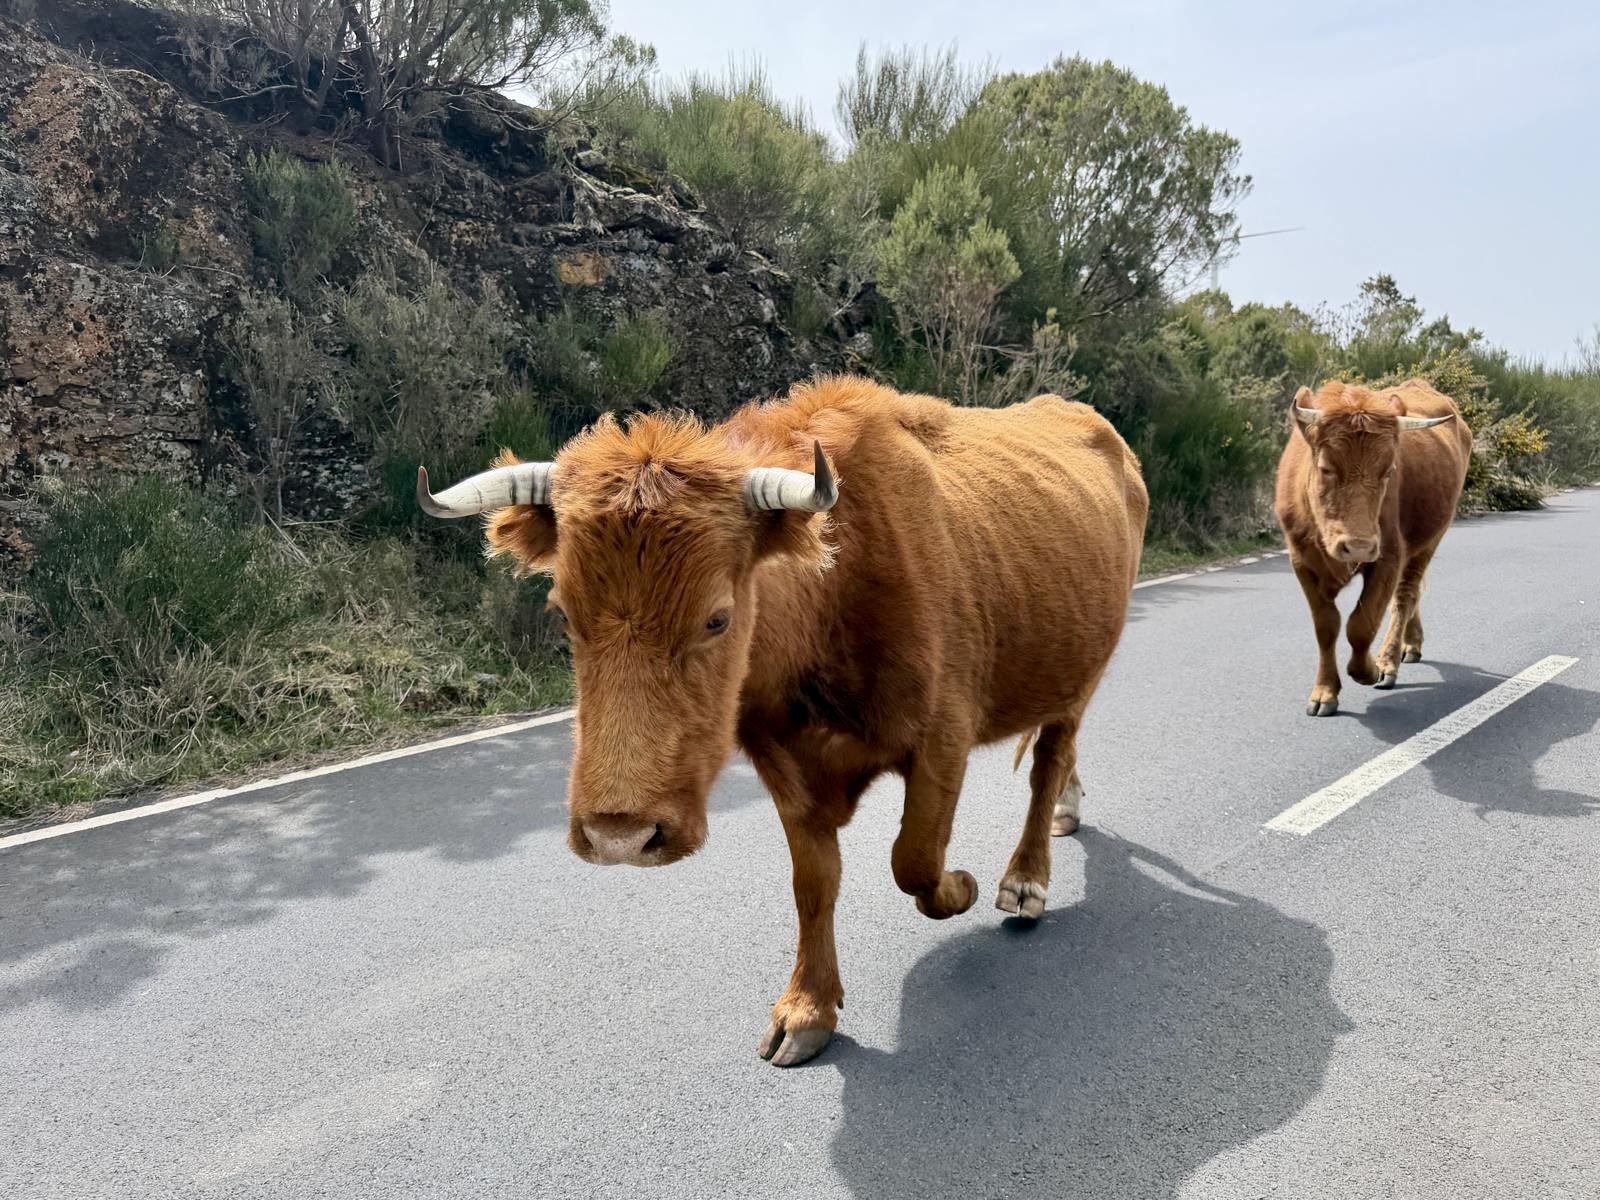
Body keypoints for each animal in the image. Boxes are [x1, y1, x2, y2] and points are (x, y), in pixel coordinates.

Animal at [418, 376, 1148, 1067]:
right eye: (562, 613)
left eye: (717, 618)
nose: (618, 835)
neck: (831, 601)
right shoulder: (784, 767)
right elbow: (813, 884)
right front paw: (808, 1009)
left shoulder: (944, 738)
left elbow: (914, 860)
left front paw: (961, 887)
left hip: (1086, 669)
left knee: (1049, 761)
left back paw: (1026, 878)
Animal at [1274, 378, 1472, 717]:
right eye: (1326, 468)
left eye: (1389, 471)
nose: (1358, 546)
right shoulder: (1302, 563)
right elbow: (1326, 626)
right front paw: (1325, 692)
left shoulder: (1388, 557)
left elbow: (1361, 625)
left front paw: (1369, 670)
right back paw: (1410, 644)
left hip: (1429, 540)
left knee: (1406, 595)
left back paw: (1390, 660)